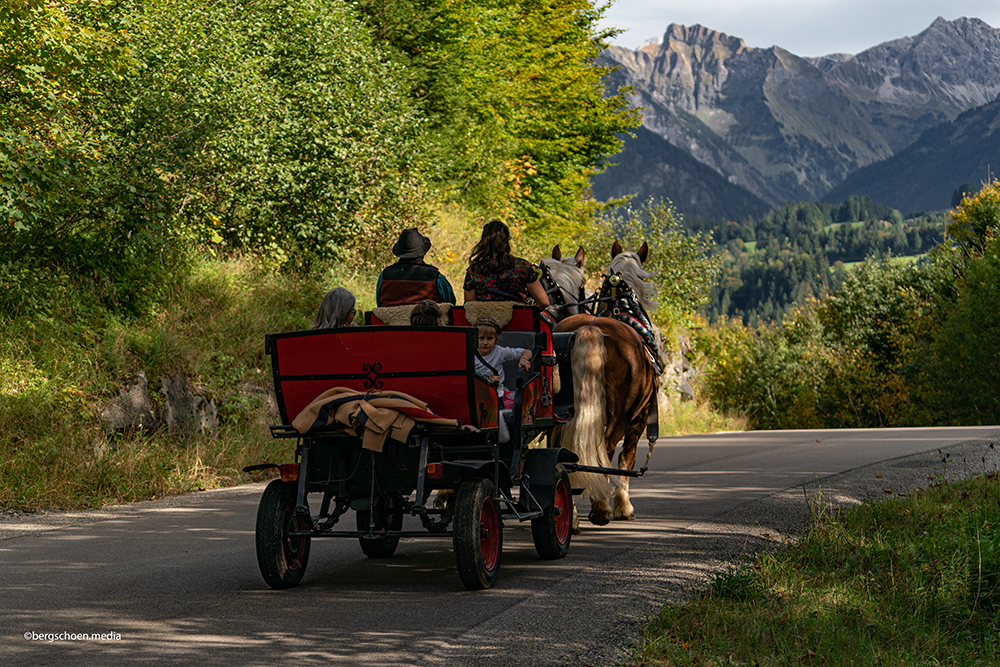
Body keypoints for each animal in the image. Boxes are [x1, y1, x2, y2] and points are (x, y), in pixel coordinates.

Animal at [552, 243, 660, 528]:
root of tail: (589, 328)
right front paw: (624, 507)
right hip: (621, 414)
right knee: (607, 449)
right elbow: (626, 459)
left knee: (559, 451)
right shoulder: (638, 420)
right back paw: (600, 508)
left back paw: (570, 514)